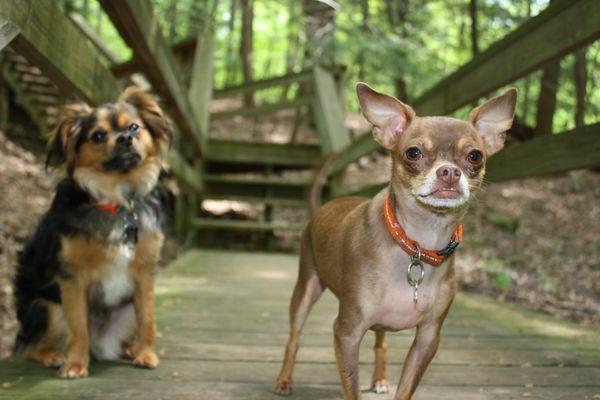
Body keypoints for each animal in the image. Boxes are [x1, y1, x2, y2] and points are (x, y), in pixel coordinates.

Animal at [14, 86, 172, 378]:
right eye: (98, 136)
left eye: (134, 127)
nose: (124, 139)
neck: (117, 201)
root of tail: (103, 342)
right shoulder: (73, 278)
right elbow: (78, 328)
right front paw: (76, 364)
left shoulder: (144, 273)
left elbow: (147, 320)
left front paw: (146, 355)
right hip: (47, 307)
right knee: (30, 345)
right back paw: (53, 355)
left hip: (126, 309)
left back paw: (129, 347)